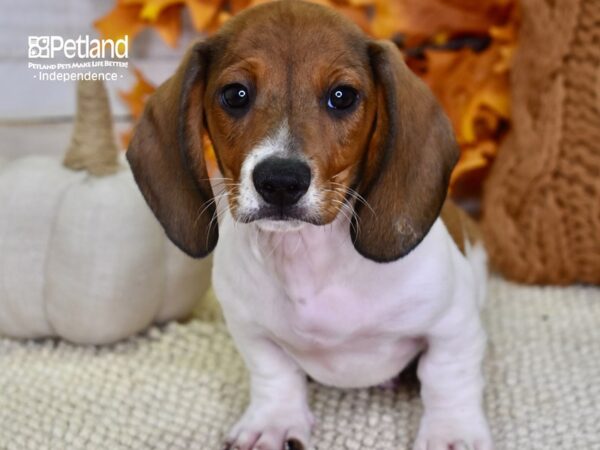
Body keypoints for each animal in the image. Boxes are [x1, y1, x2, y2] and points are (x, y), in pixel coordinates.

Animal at [126, 1, 492, 448]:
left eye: (342, 96)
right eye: (235, 94)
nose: (281, 181)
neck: (308, 259)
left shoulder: (452, 326)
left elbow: (447, 377)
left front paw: (451, 433)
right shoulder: (251, 331)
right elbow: (274, 374)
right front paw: (275, 421)